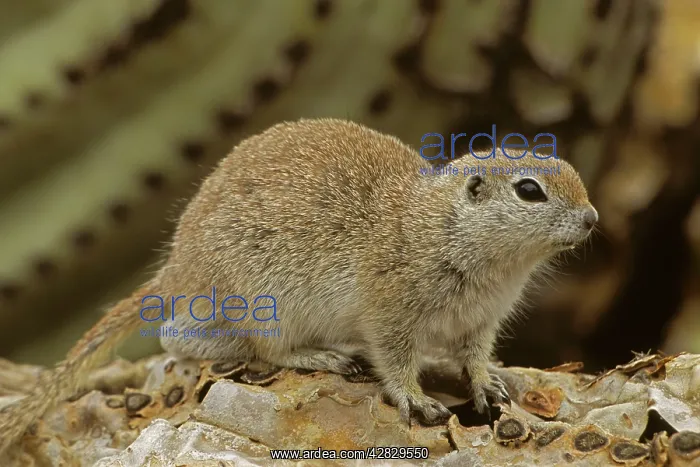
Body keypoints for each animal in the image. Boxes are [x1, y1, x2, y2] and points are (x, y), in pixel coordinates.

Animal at [0, 118, 597, 453]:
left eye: (573, 170)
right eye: (529, 190)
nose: (593, 219)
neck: (442, 229)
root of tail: (179, 265)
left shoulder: (481, 322)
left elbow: (474, 358)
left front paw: (488, 385)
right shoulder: (390, 314)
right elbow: (395, 360)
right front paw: (416, 400)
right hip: (269, 304)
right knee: (232, 346)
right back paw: (322, 356)